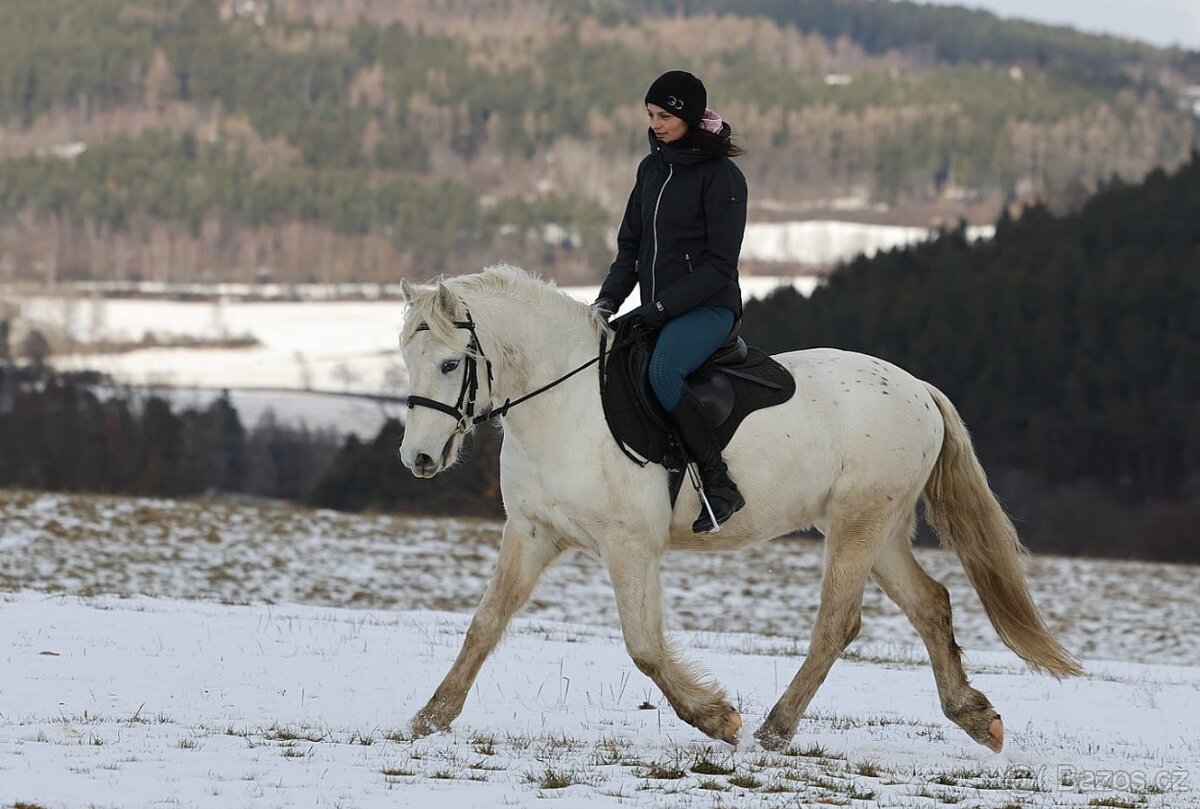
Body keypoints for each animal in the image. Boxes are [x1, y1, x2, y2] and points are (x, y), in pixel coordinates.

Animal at [396, 265, 1081, 752]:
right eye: (407, 359)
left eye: (451, 363)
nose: (419, 458)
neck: (564, 404)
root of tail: (919, 389)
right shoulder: (533, 532)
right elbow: (484, 624)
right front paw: (430, 717)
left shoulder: (629, 545)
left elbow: (644, 645)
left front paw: (716, 718)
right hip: (878, 530)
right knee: (931, 604)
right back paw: (975, 717)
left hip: (857, 526)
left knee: (838, 622)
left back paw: (775, 729)